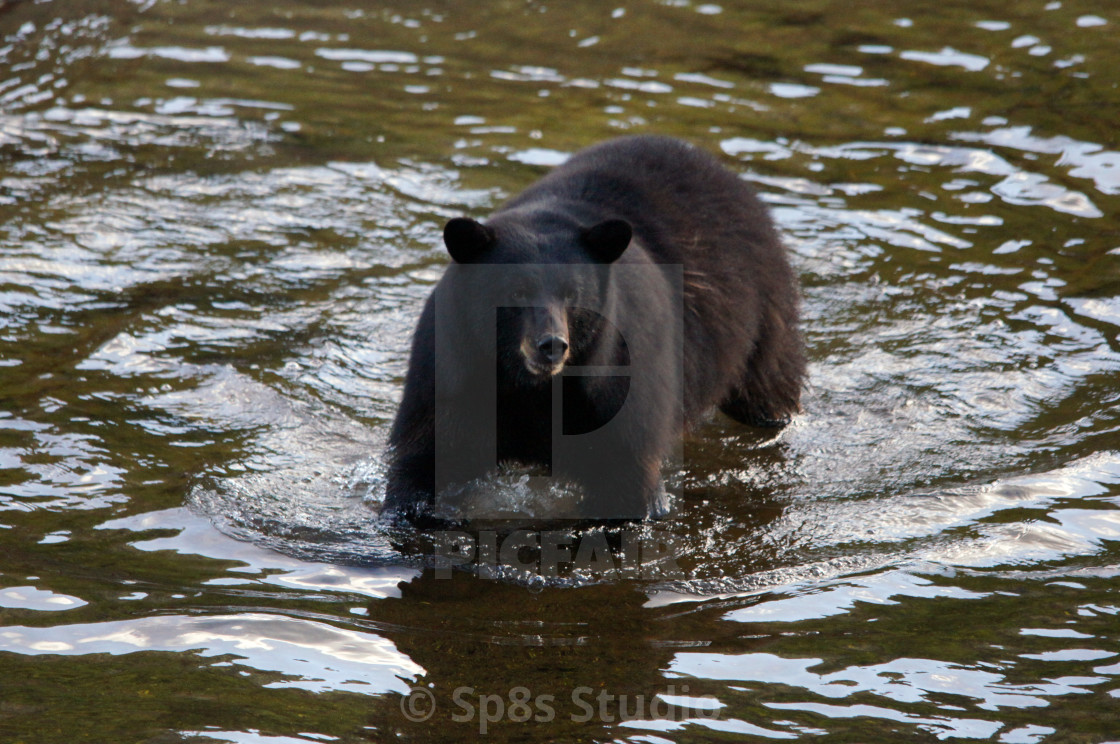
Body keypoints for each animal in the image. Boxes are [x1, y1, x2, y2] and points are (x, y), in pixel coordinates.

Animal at [385, 135, 806, 522]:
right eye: (516, 291)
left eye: (573, 294)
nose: (551, 345)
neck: (534, 389)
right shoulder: (454, 373)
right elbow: (427, 457)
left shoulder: (618, 382)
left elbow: (625, 477)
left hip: (763, 316)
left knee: (768, 383)